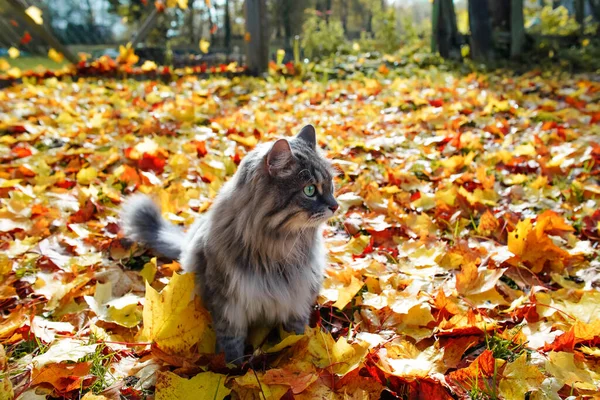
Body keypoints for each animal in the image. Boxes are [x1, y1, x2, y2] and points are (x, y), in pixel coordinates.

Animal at [120, 126, 338, 366]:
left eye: (330, 186)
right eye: (310, 190)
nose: (335, 206)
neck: (276, 249)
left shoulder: (297, 298)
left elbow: (294, 335)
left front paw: (297, 355)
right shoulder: (227, 302)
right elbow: (231, 340)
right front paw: (233, 367)